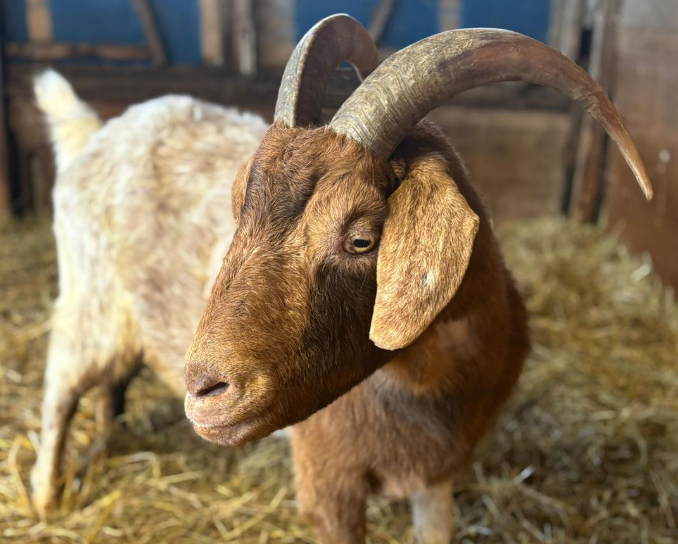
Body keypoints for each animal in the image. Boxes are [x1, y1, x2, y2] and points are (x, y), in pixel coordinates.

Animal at [184, 15, 652, 544]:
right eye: (241, 207)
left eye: (361, 240)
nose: (203, 391)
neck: (431, 380)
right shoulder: (328, 481)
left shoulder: (438, 474)